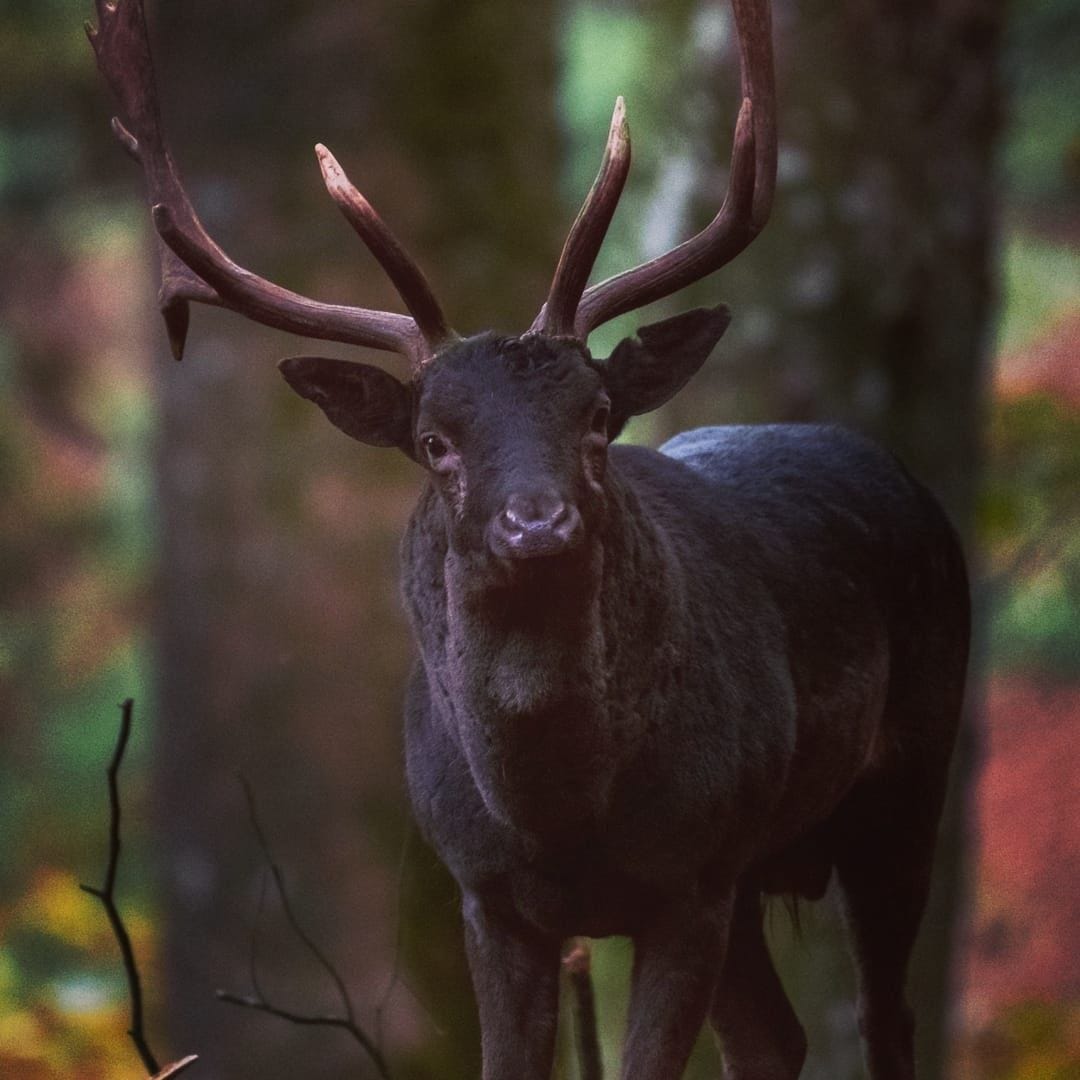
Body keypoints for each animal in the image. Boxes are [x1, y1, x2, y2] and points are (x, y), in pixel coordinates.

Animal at [88, 1, 970, 1077]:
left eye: (597, 417)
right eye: (434, 442)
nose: (537, 519)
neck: (558, 818)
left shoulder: (694, 872)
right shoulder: (488, 896)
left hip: (909, 774)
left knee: (888, 1019)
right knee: (774, 1035)